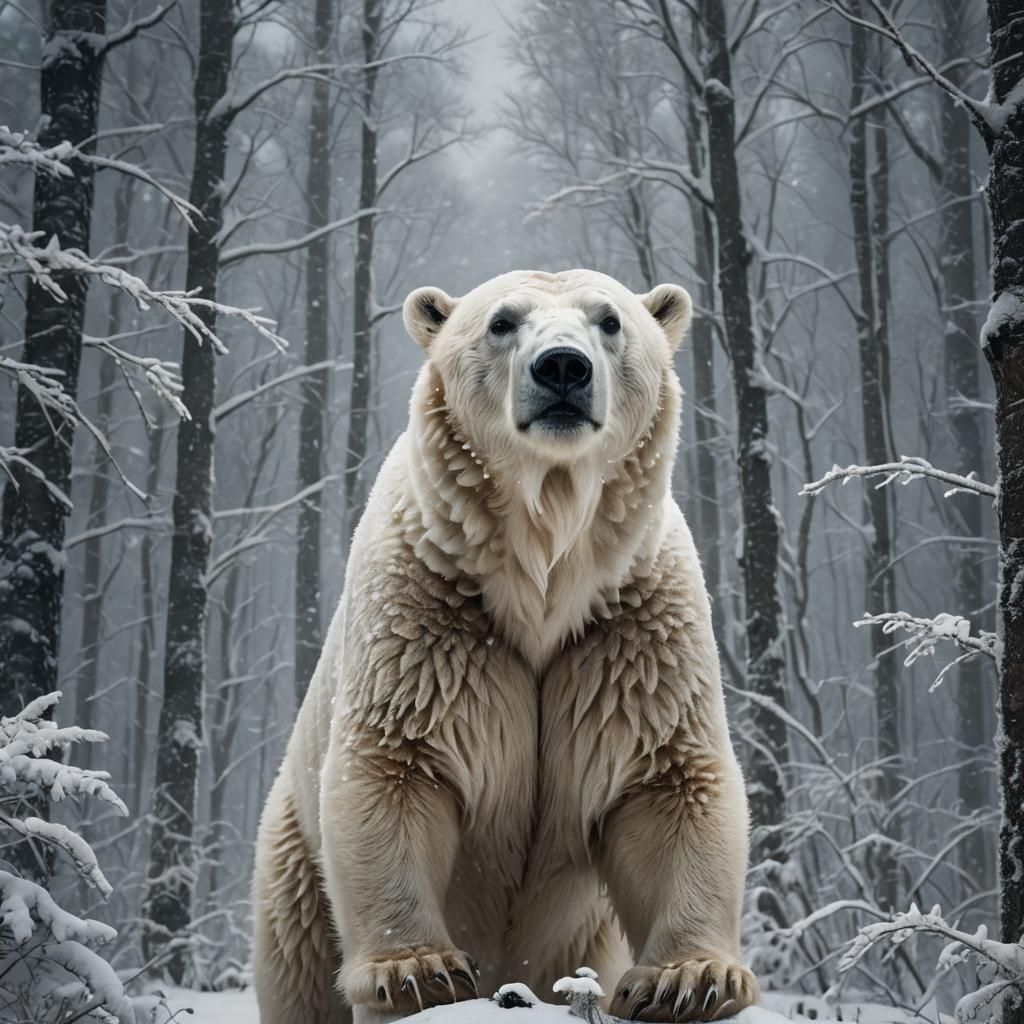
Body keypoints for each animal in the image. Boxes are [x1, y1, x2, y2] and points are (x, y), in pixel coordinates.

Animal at [252, 269, 758, 1024]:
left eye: (610, 320)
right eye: (501, 322)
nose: (563, 368)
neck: (543, 575)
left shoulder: (629, 624)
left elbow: (666, 779)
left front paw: (691, 978)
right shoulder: (430, 607)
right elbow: (394, 766)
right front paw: (417, 969)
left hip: (585, 933)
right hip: (293, 849)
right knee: (299, 960)